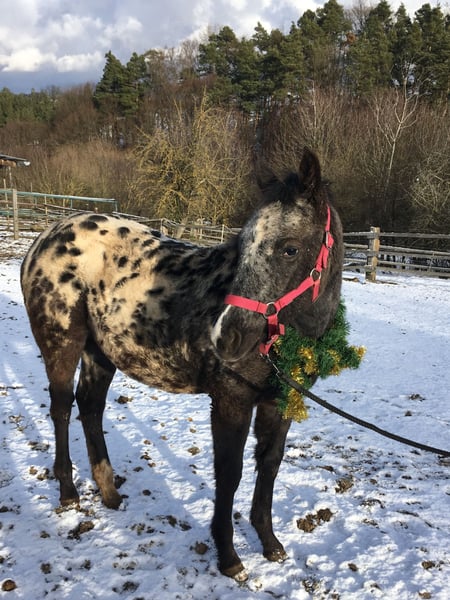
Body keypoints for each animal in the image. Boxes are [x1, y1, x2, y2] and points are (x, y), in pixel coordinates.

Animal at [20, 148, 343, 581]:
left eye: (289, 248)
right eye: (243, 246)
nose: (227, 337)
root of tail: (44, 238)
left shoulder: (279, 402)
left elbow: (269, 465)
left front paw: (270, 543)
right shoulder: (231, 400)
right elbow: (229, 473)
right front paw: (229, 557)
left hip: (100, 353)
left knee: (90, 407)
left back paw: (109, 493)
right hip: (62, 343)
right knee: (61, 408)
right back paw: (69, 493)